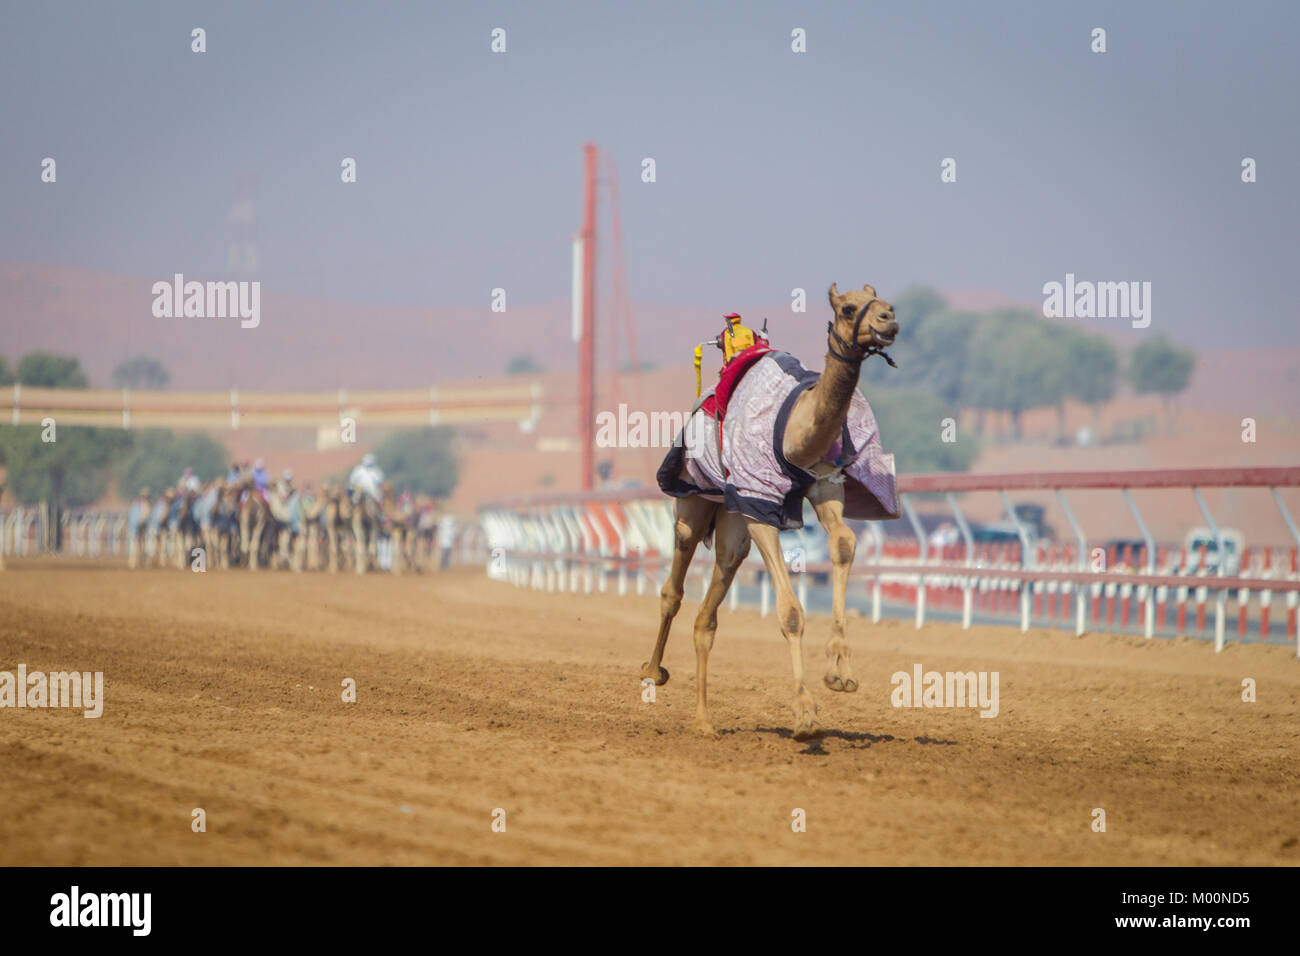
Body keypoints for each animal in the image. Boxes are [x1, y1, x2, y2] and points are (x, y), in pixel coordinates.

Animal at [640, 283, 900, 740]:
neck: (797, 433)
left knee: (708, 614)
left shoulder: (824, 482)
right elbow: (792, 613)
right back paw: (654, 672)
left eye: (887, 303)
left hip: (730, 523)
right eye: (849, 308)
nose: (889, 321)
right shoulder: (757, 501)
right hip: (693, 502)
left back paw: (704, 721)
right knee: (673, 588)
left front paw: (840, 671)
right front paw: (805, 715)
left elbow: (844, 543)